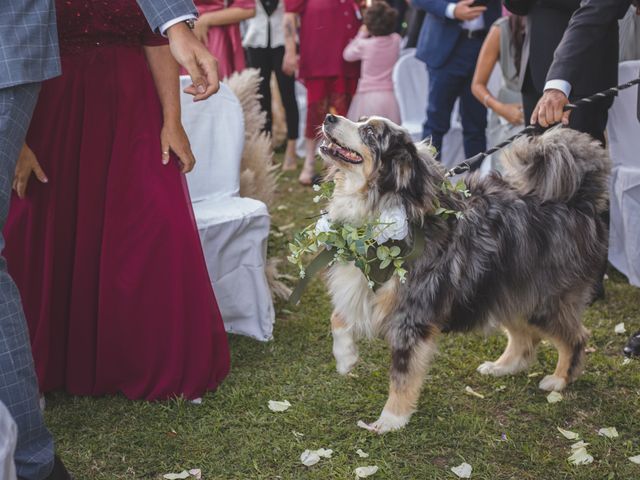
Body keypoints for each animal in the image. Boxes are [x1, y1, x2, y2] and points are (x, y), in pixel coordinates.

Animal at [318, 113, 608, 436]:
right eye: (359, 120)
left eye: (369, 133)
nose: (329, 117)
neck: (386, 207)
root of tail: (579, 201)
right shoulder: (361, 282)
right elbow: (338, 318)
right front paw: (345, 358)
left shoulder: (412, 315)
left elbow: (402, 375)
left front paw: (390, 420)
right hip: (505, 290)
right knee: (525, 339)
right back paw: (502, 367)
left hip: (543, 300)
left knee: (576, 337)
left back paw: (559, 380)